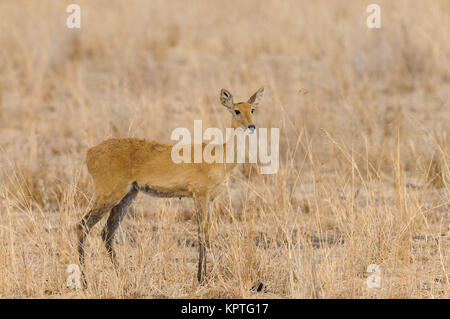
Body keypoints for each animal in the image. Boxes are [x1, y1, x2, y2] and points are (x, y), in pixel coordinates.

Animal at [74, 86, 264, 284]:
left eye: (252, 109)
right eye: (237, 110)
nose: (251, 127)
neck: (220, 157)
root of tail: (90, 152)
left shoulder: (210, 200)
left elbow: (207, 233)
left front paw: (205, 276)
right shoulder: (200, 196)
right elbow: (200, 234)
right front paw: (200, 278)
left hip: (128, 196)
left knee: (107, 232)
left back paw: (121, 275)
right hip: (109, 195)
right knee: (82, 225)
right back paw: (85, 281)